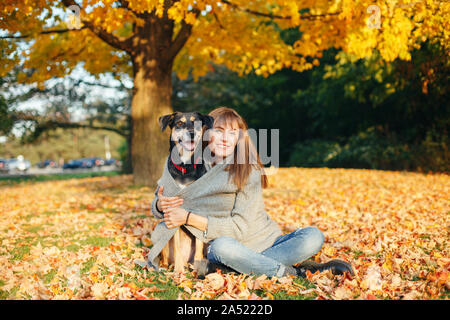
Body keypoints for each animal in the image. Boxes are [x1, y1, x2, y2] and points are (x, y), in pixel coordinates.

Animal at [158, 110, 214, 272]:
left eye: (196, 123)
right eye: (179, 123)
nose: (191, 133)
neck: (186, 166)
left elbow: (199, 246)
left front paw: (197, 269)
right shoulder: (173, 211)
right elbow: (176, 245)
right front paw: (178, 271)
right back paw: (166, 266)